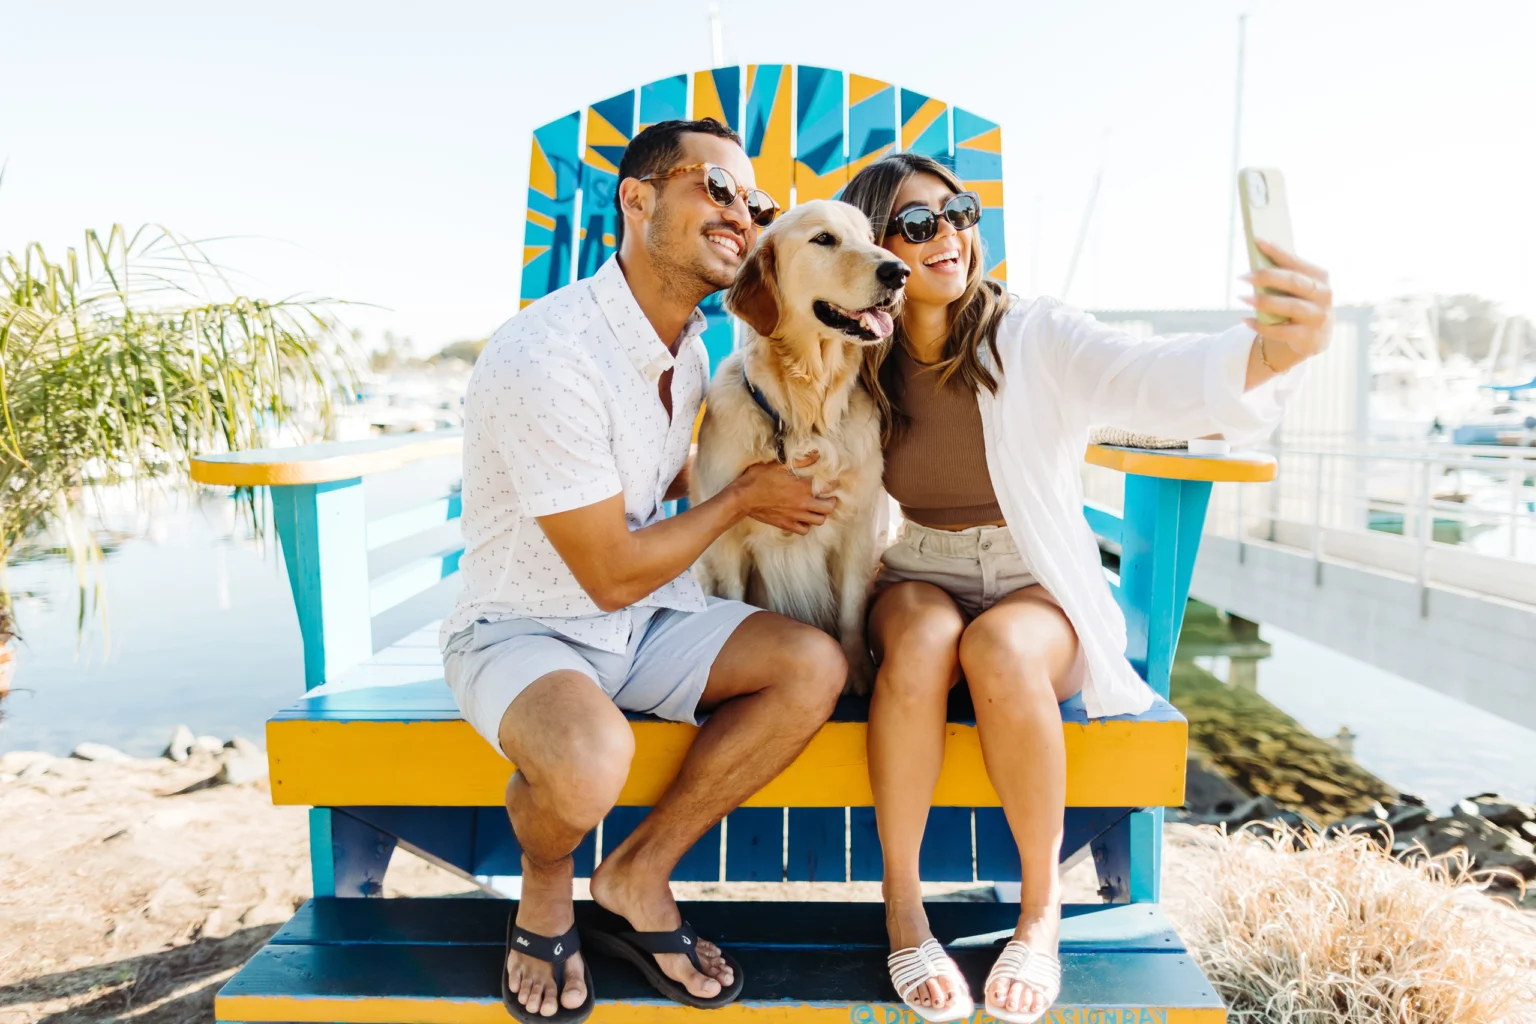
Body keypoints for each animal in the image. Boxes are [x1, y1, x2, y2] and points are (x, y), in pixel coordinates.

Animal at [691, 198, 903, 696]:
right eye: (823, 239)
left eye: (870, 238)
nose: (899, 271)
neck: (807, 415)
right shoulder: (728, 539)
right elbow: (736, 601)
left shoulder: (858, 527)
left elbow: (851, 615)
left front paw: (858, 673)